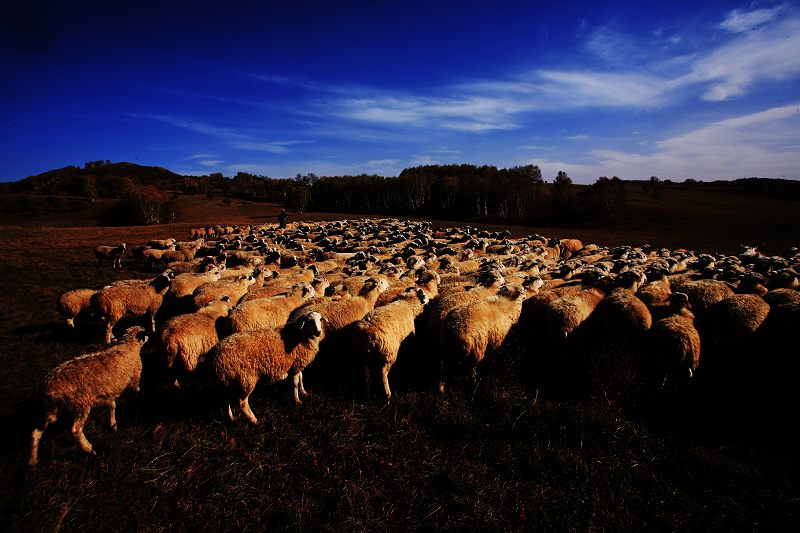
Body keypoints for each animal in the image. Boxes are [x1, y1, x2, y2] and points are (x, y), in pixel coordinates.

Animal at [28, 324, 149, 466]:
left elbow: (112, 405)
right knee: (75, 430)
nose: (150, 335)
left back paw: (32, 460)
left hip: (49, 409)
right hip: (82, 404)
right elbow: (136, 390)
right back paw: (89, 449)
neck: (128, 346)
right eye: (144, 331)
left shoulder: (108, 390)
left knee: (35, 433)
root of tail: (47, 387)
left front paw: (113, 424)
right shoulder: (135, 378)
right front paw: (140, 396)